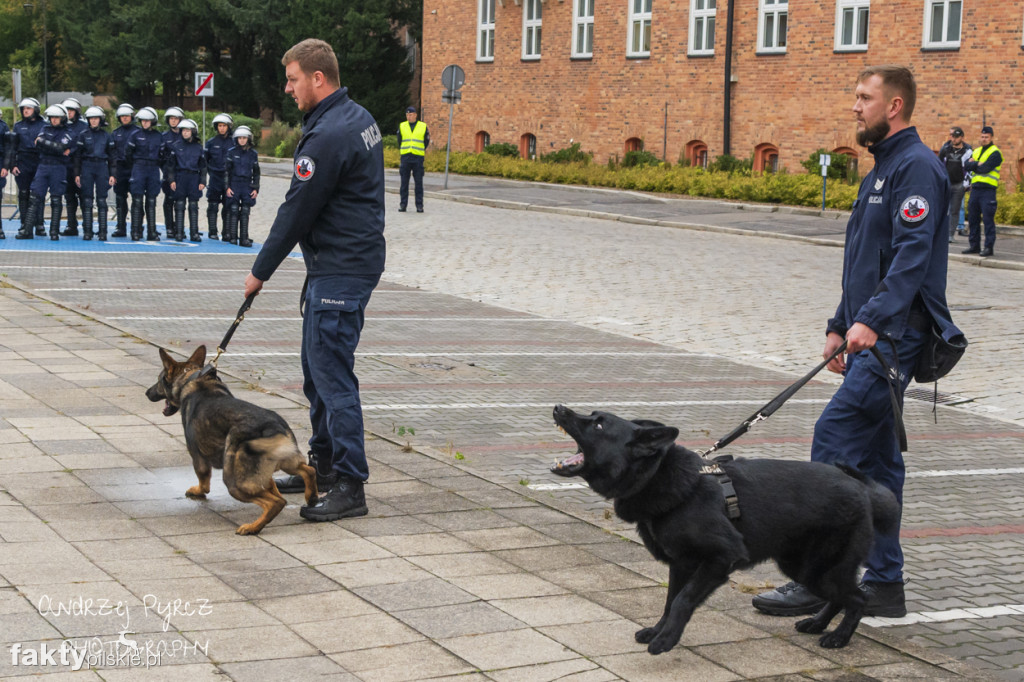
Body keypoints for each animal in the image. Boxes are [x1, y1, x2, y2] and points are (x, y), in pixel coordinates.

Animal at [145, 348, 315, 532]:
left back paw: (252, 528)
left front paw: (198, 491)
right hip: (287, 461)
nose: (147, 393)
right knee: (308, 471)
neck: (192, 378)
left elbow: (204, 482)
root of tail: (271, 427)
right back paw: (311, 497)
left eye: (159, 380)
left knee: (276, 502)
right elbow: (271, 484)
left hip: (234, 481)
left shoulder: (198, 458)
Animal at [552, 405, 897, 651]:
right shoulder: (681, 566)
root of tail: (862, 490)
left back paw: (839, 637)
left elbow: (683, 601)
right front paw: (659, 631)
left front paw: (666, 640)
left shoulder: (719, 560)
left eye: (599, 424)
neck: (655, 476)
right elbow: (670, 601)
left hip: (817, 569)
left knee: (858, 599)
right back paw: (817, 624)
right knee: (841, 597)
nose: (557, 407)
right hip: (804, 568)